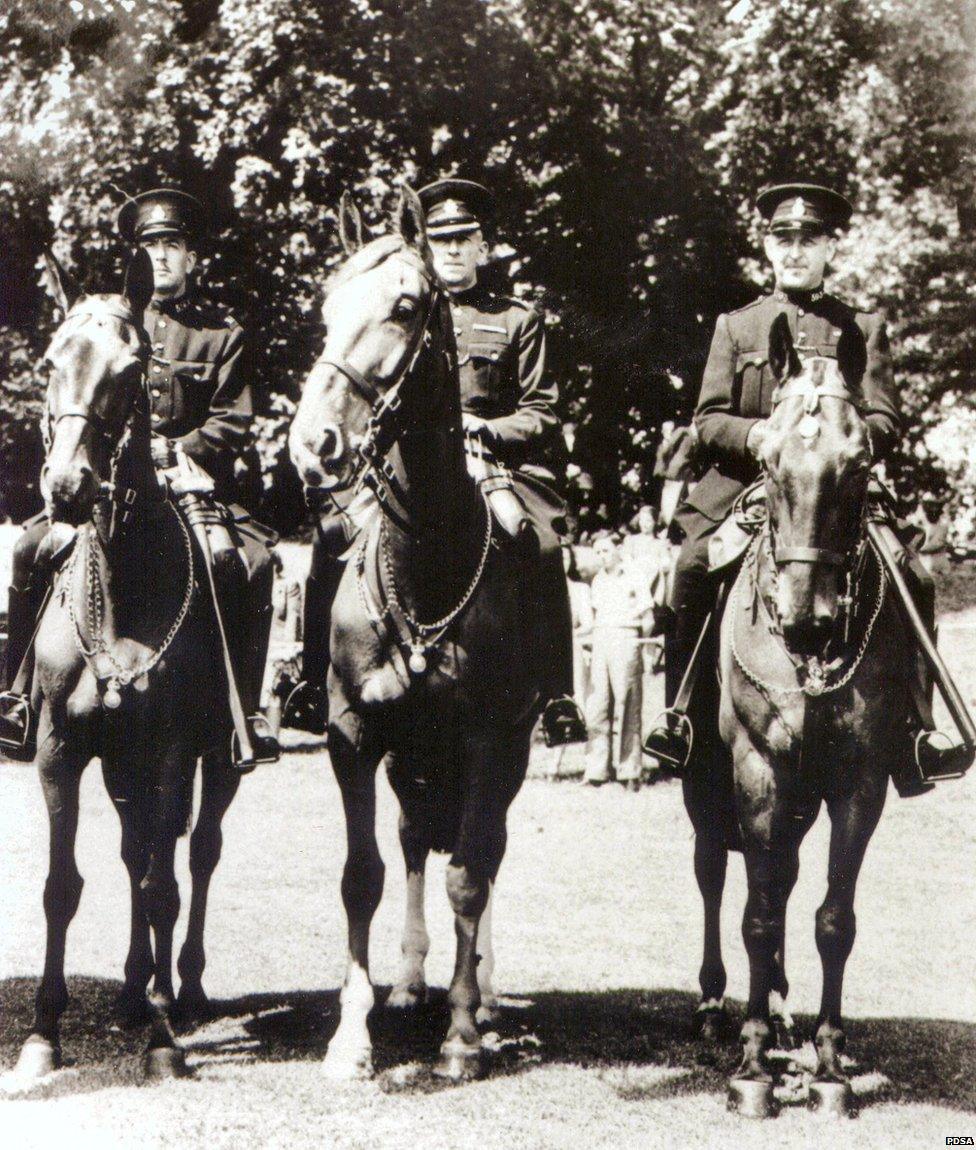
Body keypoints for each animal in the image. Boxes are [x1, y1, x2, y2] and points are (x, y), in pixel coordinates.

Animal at [8, 251, 270, 1076]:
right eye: (52, 361)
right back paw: (131, 991)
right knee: (132, 851)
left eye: (131, 371)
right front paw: (43, 1034)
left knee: (198, 855)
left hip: (213, 762)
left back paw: (180, 992)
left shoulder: (172, 751)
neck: (125, 584)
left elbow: (163, 884)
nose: (67, 487)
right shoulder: (60, 749)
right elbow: (63, 885)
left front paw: (162, 1041)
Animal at [287, 186, 540, 1076]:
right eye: (325, 310)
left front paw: (462, 1033)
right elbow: (362, 873)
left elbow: (472, 871)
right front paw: (351, 1036)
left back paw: (485, 996)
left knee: (483, 850)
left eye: (404, 306)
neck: (428, 551)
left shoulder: (491, 738)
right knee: (414, 841)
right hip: (411, 758)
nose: (313, 443)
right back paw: (405, 981)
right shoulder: (354, 735)